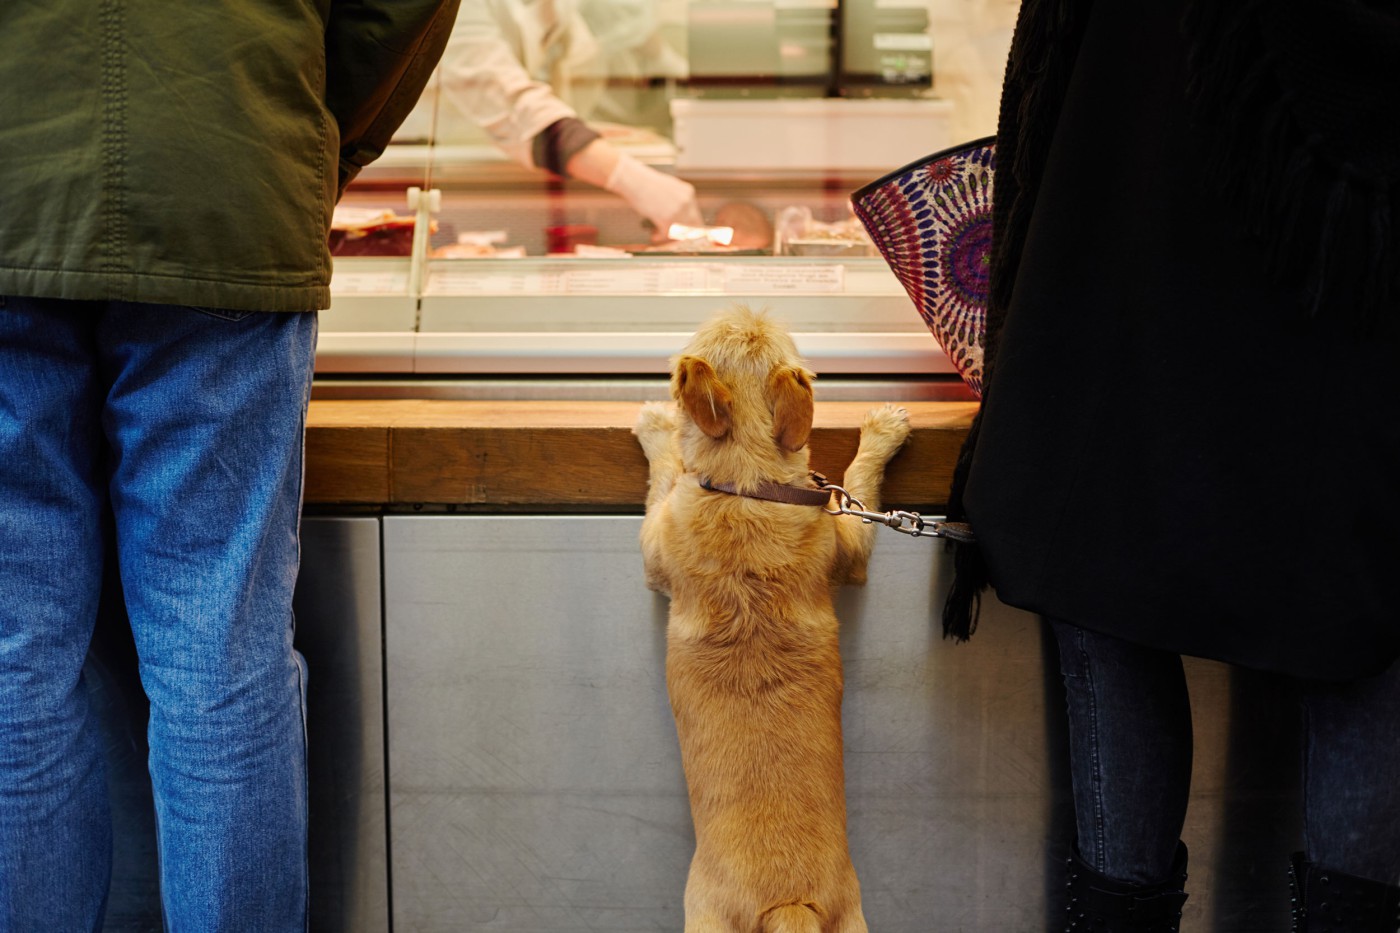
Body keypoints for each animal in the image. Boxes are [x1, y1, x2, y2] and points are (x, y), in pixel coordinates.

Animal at [632, 305, 912, 930]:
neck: (747, 487)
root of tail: (787, 901)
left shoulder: (655, 546)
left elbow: (666, 471)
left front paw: (656, 428)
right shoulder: (849, 545)